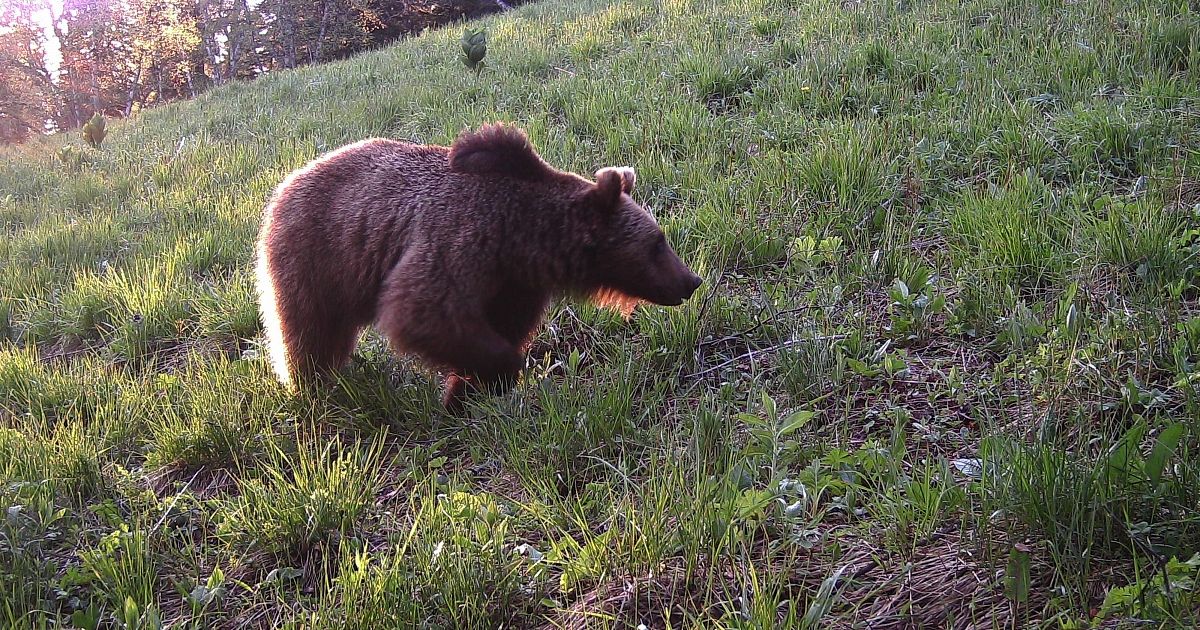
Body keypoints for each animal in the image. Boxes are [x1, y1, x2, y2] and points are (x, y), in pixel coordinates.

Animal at [253, 122, 700, 408]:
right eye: (657, 243)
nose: (691, 280)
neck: (523, 235)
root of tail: (284, 183)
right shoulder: (461, 240)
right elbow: (423, 311)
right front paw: (498, 372)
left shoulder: (514, 283)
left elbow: (497, 328)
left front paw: (464, 392)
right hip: (317, 255)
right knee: (306, 330)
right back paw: (311, 385)